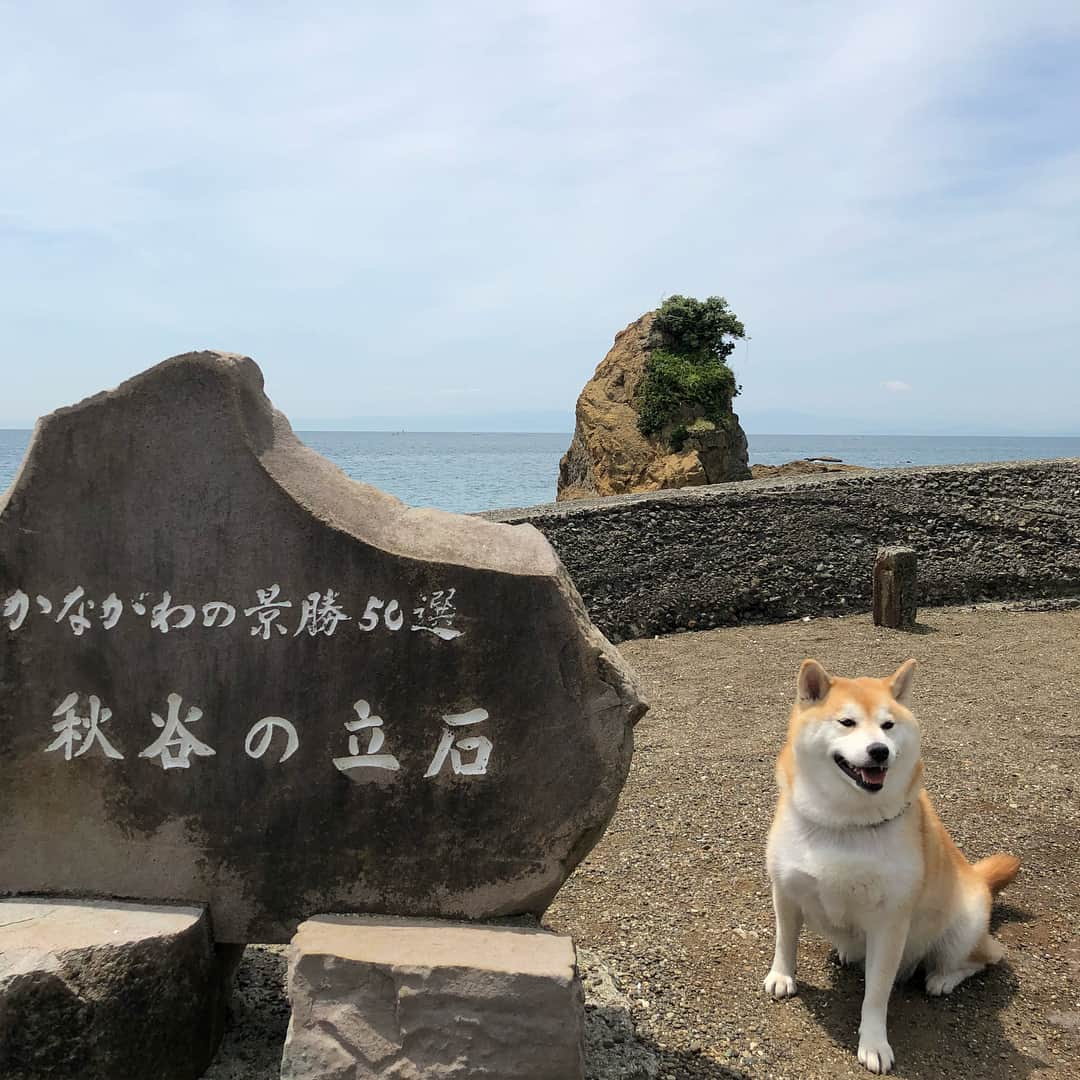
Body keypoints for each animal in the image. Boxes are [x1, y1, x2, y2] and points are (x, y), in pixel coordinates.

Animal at [764, 656, 1015, 1071]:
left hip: (961, 931)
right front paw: (782, 976)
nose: (879, 750)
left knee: (984, 958)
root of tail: (977, 878)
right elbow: (785, 941)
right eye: (847, 722)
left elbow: (876, 994)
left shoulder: (890, 923)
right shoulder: (786, 890)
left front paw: (874, 1044)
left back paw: (942, 979)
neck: (845, 823)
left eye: (888, 725)